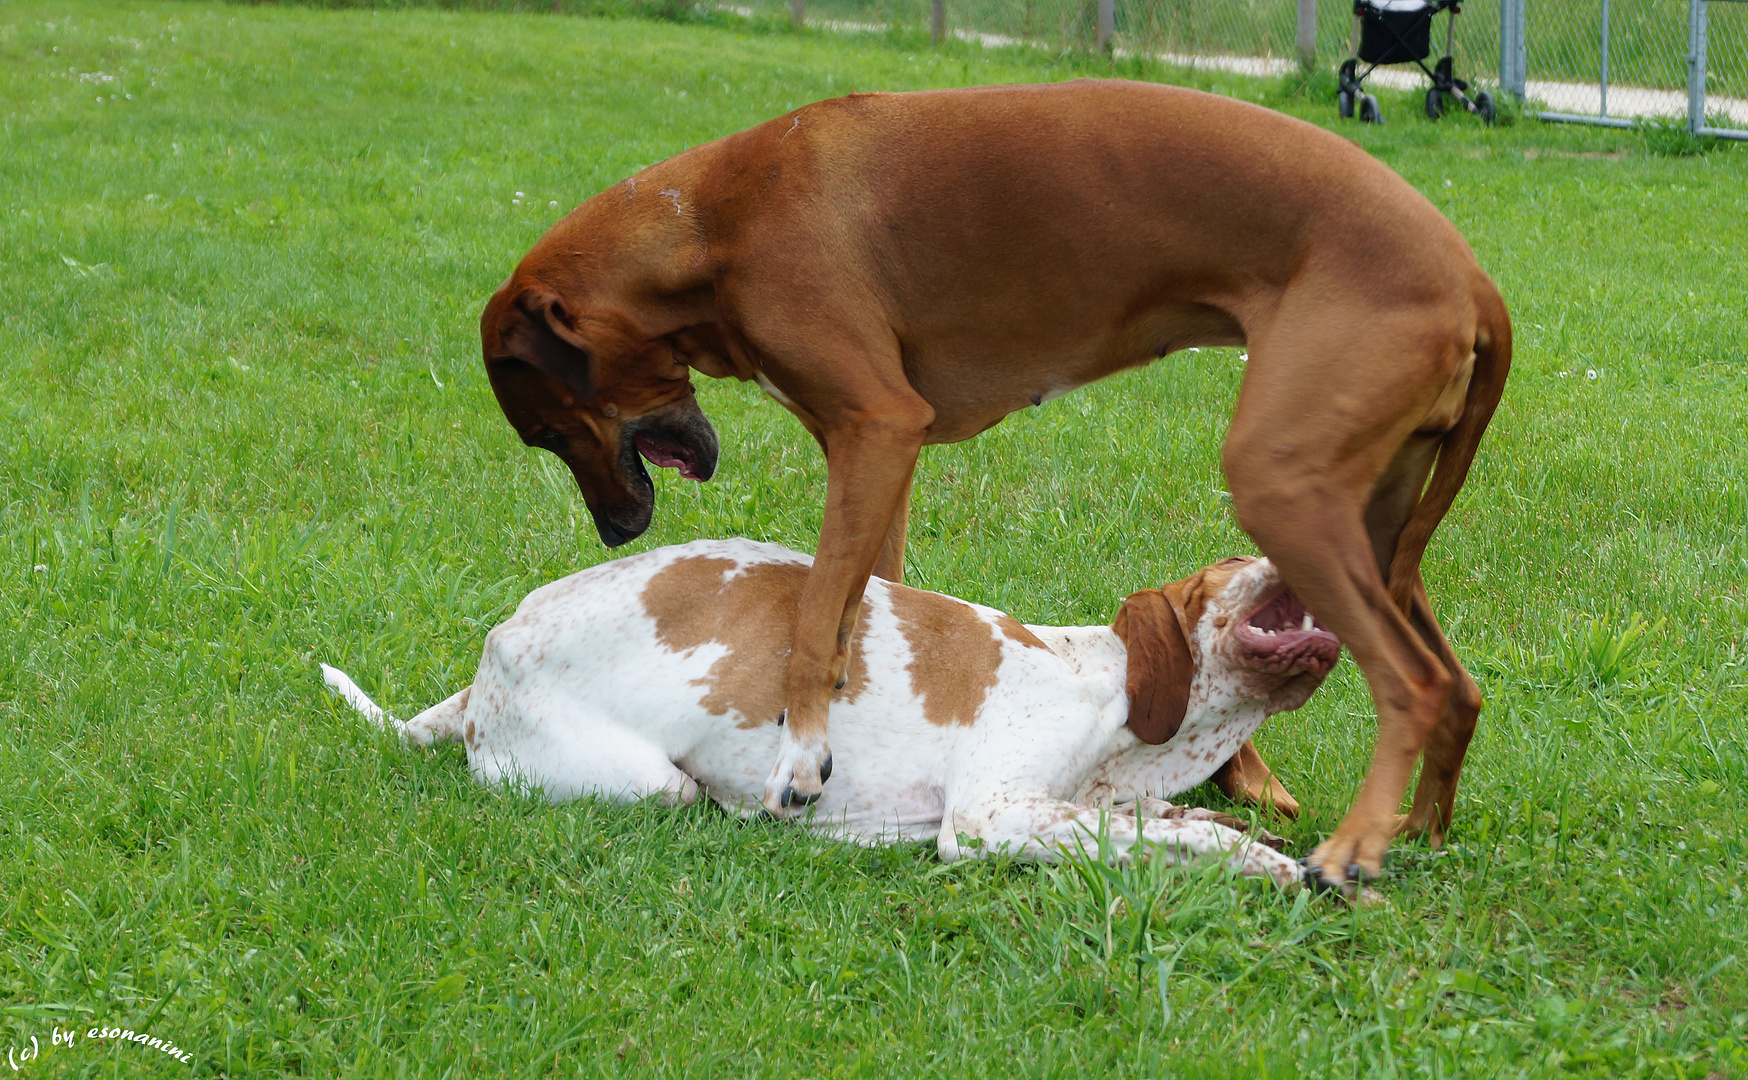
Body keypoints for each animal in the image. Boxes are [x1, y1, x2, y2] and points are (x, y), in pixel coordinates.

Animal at [325, 534, 1335, 884]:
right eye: (1233, 557)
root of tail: (490, 658)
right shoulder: (990, 815)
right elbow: (1170, 838)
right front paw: (1260, 861)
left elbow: (1163, 823)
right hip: (656, 786)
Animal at [485, 77, 1510, 891]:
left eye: (547, 431)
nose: (617, 533)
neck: (711, 220)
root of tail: (1473, 274)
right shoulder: (875, 455)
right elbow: (866, 601)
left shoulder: (878, 430)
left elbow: (817, 621)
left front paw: (804, 756)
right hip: (1369, 521)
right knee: (1458, 686)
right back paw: (1419, 832)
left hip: (1283, 489)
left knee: (1415, 681)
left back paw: (1355, 847)